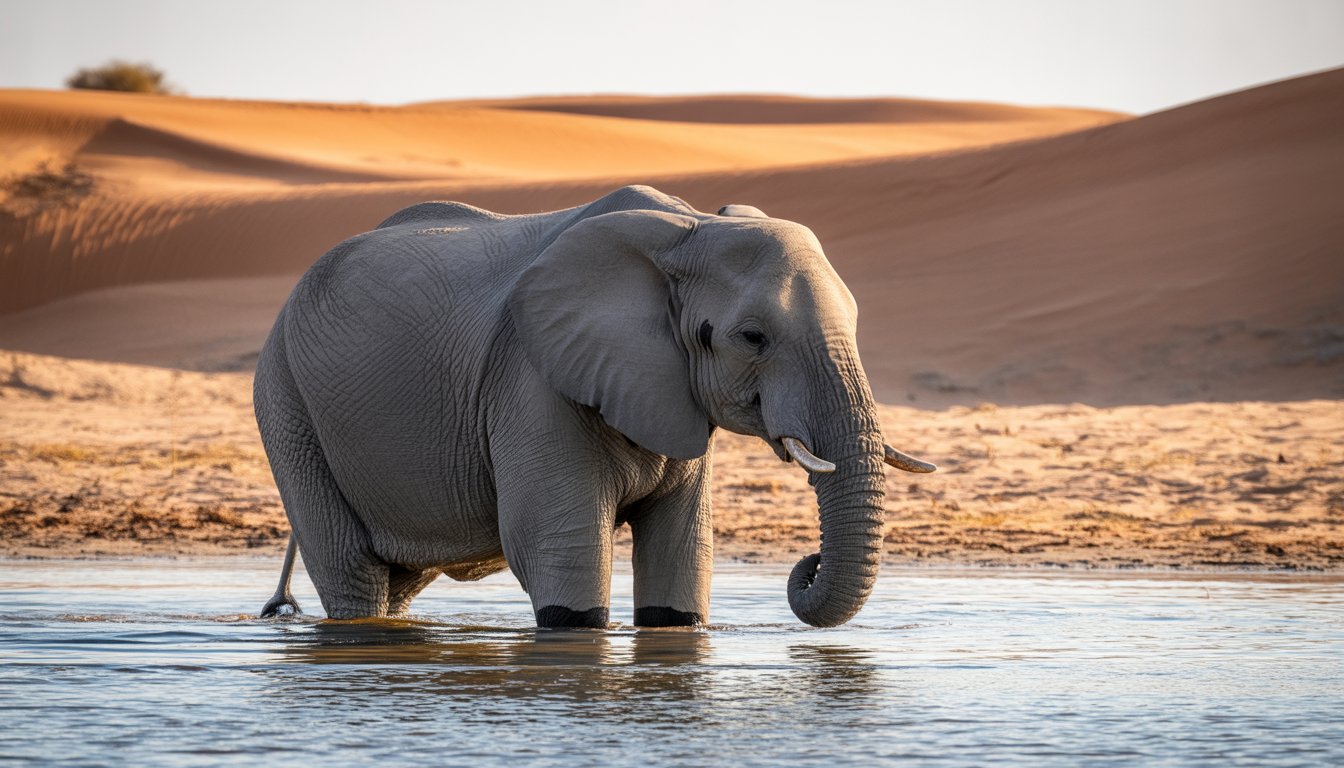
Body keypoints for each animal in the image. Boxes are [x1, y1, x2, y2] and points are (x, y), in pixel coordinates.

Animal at [254, 185, 934, 628]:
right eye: (752, 337)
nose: (806, 563)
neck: (687, 230)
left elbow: (682, 553)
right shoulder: (530, 376)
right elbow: (559, 548)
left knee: (398, 580)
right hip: (286, 402)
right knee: (352, 571)